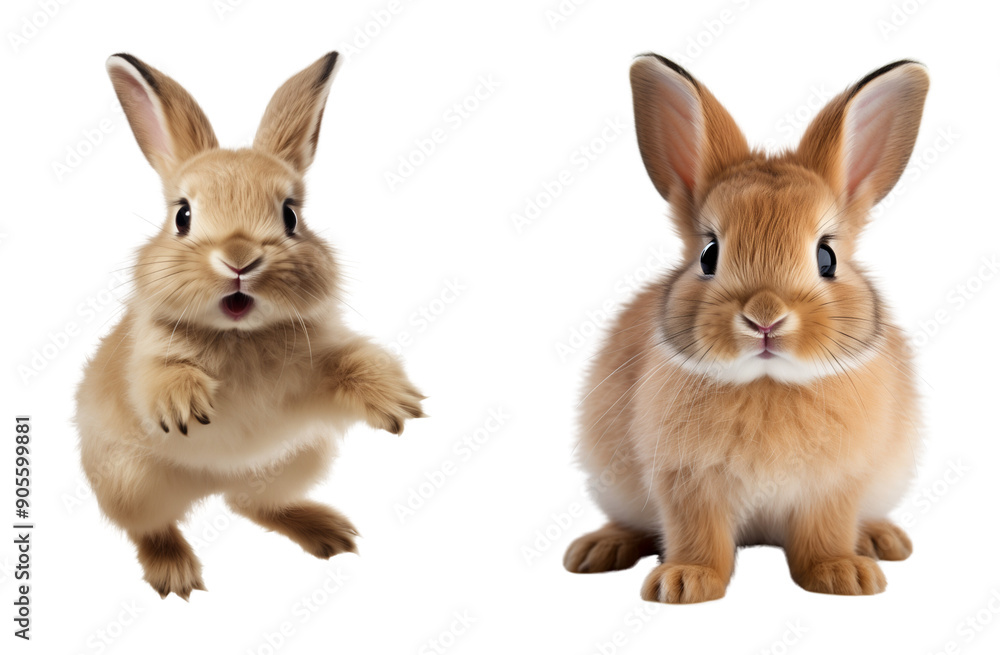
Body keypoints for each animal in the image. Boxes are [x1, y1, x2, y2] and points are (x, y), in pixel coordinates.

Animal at [75, 51, 425, 599]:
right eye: (183, 216)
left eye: (290, 216)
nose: (239, 258)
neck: (239, 335)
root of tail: (214, 481)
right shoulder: (144, 360)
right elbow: (158, 375)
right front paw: (186, 408)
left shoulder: (315, 370)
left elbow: (353, 361)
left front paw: (396, 403)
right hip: (133, 482)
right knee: (151, 527)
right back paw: (174, 572)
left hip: (298, 460)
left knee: (251, 503)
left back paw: (328, 532)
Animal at [564, 55, 928, 603]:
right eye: (709, 255)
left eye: (826, 257)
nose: (765, 317)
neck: (766, 381)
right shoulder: (686, 482)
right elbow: (698, 535)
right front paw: (683, 583)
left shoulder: (834, 485)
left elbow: (825, 533)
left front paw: (844, 575)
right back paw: (596, 550)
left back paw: (882, 541)